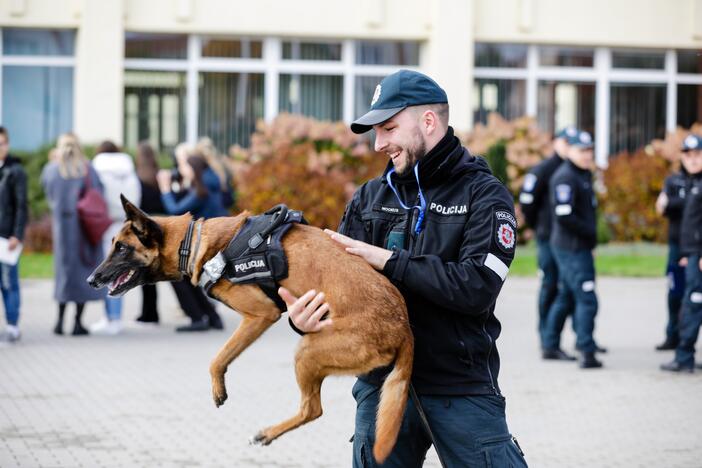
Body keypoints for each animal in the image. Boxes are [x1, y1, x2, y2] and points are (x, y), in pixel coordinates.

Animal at [90, 196, 416, 462]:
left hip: (307, 351)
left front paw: (218, 388)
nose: (92, 280)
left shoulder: (260, 315)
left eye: (121, 248)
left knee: (313, 409)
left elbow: (218, 358)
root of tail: (403, 325)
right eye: (114, 245)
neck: (193, 243)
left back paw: (267, 433)